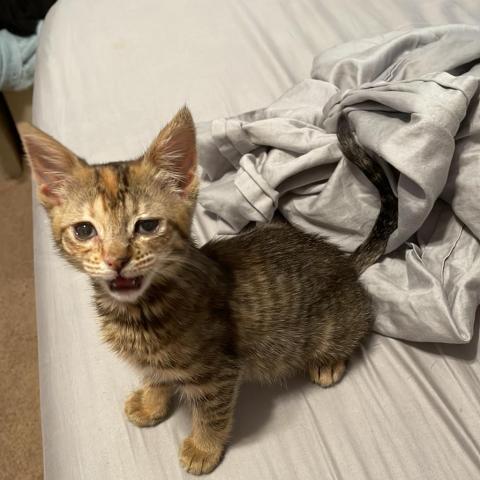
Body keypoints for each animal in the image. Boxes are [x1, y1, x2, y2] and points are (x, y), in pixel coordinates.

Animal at [19, 107, 398, 474]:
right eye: (84, 230)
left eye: (147, 226)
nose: (116, 260)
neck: (139, 311)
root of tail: (344, 262)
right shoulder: (153, 362)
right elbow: (155, 376)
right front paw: (152, 402)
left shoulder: (220, 372)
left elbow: (211, 413)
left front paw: (203, 448)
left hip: (333, 326)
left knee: (357, 328)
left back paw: (329, 363)